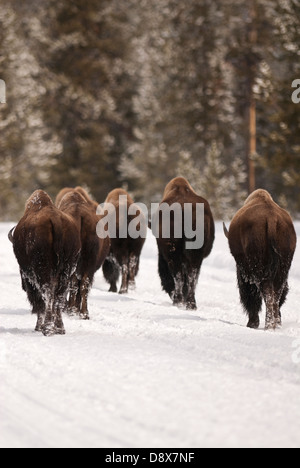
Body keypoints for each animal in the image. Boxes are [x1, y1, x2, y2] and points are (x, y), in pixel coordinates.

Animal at [8, 190, 81, 336]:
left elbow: (39, 301)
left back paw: (46, 328)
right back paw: (59, 328)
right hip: (67, 269)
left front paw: (38, 326)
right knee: (59, 296)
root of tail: (56, 220)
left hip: (42, 270)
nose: (22, 285)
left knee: (47, 293)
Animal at [154, 177, 214, 308]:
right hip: (195, 255)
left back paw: (178, 301)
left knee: (179, 276)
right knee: (192, 276)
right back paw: (191, 304)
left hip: (174, 254)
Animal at [224, 189, 296, 330]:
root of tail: (271, 218)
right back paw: (276, 324)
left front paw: (252, 323)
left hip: (259, 271)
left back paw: (267, 325)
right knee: (277, 294)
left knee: (266, 293)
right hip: (282, 270)